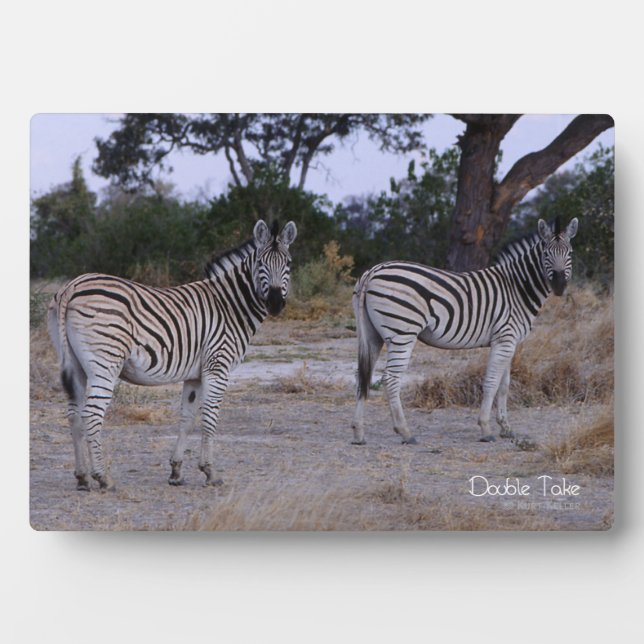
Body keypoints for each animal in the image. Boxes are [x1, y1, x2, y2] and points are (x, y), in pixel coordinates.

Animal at [48, 219, 297, 490]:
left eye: (288, 264)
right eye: (261, 263)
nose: (275, 303)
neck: (230, 306)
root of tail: (72, 285)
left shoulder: (195, 374)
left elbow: (187, 418)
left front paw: (176, 471)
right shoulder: (217, 365)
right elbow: (210, 417)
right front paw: (210, 472)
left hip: (75, 365)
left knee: (74, 415)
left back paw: (82, 476)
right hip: (105, 363)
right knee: (92, 415)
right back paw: (103, 477)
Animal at [351, 217, 578, 446]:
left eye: (570, 253)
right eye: (546, 253)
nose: (559, 286)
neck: (517, 288)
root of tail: (373, 272)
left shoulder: (509, 342)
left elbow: (504, 385)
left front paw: (506, 428)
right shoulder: (504, 339)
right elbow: (492, 383)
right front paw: (486, 428)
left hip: (372, 335)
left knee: (363, 376)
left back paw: (359, 433)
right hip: (402, 333)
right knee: (391, 378)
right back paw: (405, 432)